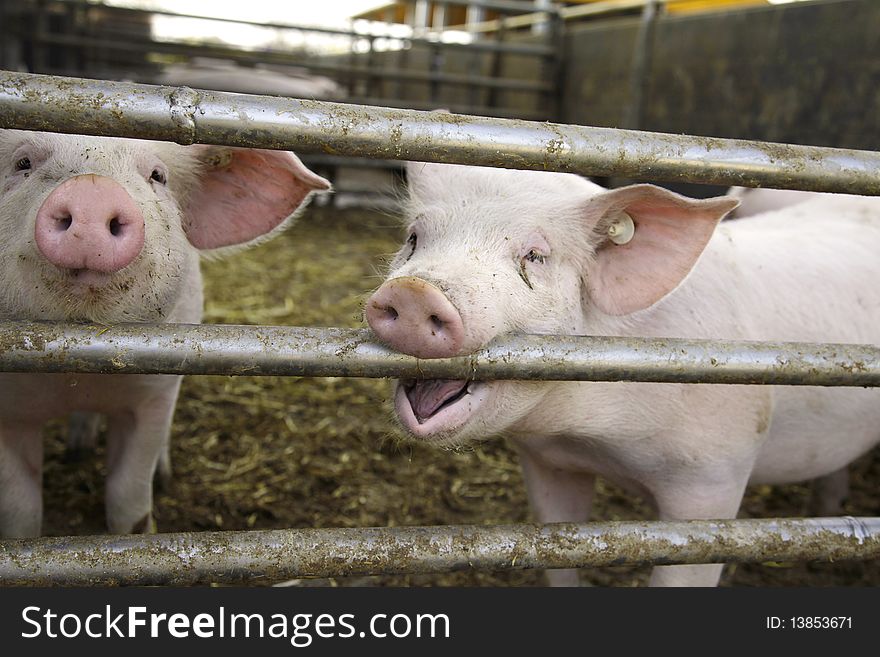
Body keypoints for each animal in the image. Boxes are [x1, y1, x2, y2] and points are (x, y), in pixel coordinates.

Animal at [0, 129, 330, 540]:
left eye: (158, 175)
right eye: (22, 163)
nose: (92, 190)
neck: (78, 377)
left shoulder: (154, 393)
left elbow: (128, 499)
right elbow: (21, 513)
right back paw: (78, 451)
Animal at [366, 161, 880, 588]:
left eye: (534, 256)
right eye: (414, 239)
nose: (414, 292)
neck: (599, 438)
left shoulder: (715, 476)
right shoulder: (548, 462)